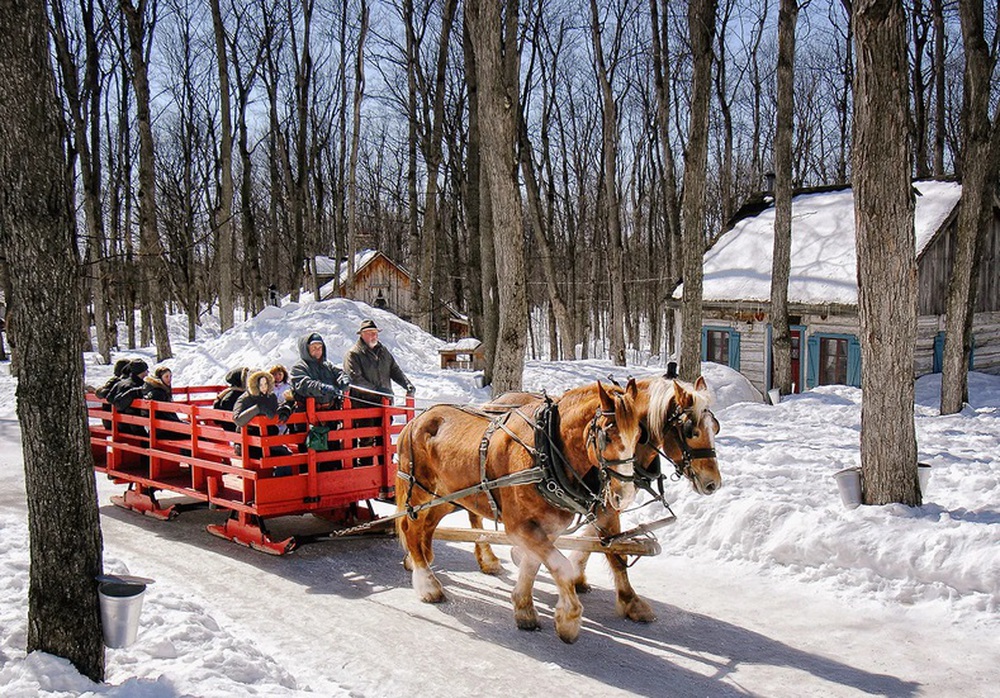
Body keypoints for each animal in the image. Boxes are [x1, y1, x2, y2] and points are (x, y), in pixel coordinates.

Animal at [396, 380, 640, 640]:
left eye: (639, 435)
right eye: (608, 435)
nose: (625, 494)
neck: (544, 452)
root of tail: (415, 421)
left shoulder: (547, 527)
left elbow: (532, 565)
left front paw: (524, 608)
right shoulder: (519, 526)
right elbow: (561, 566)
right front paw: (569, 619)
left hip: (447, 496)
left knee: (428, 524)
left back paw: (421, 560)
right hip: (419, 490)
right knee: (410, 528)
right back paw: (427, 583)